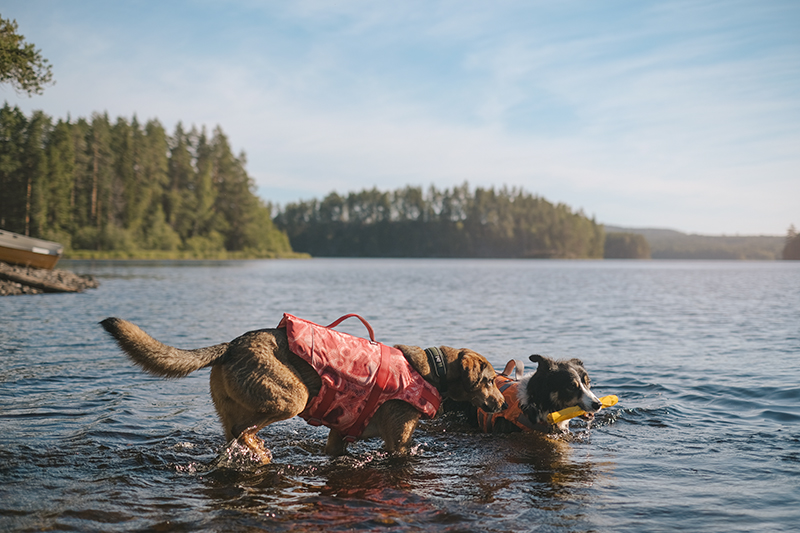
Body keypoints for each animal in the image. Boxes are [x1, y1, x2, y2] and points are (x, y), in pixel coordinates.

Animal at [98, 316, 500, 462]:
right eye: (490, 380)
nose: (499, 402)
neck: (433, 372)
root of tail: (231, 346)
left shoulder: (338, 437)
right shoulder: (398, 442)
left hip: (232, 405)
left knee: (231, 434)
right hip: (292, 396)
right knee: (245, 430)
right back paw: (259, 450)